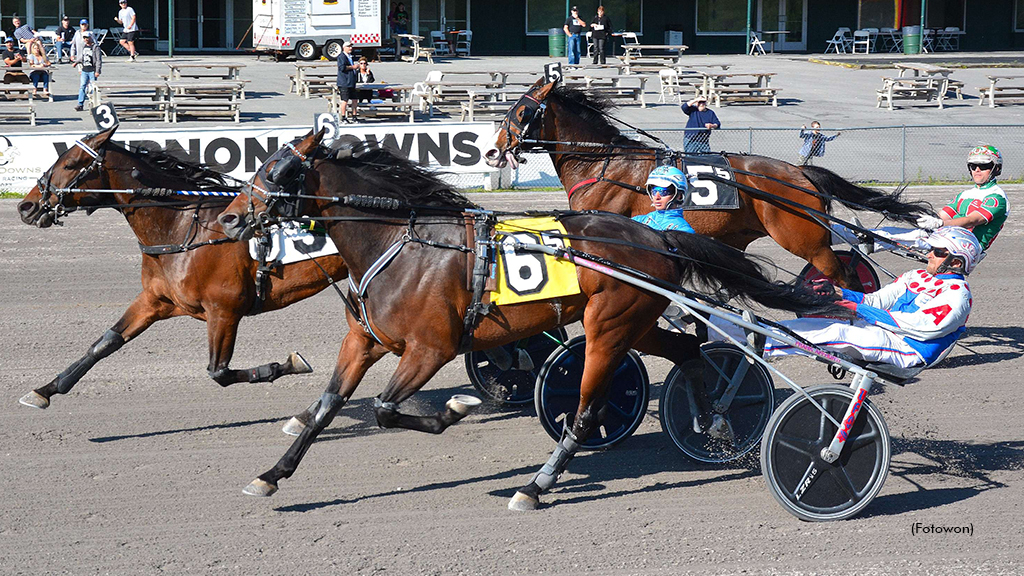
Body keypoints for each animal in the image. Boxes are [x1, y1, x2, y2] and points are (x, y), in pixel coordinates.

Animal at [16, 127, 350, 409]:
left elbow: (219, 372)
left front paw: (289, 364)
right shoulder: (156, 300)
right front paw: (45, 390)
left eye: (71, 163)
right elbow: (105, 342)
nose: (26, 206)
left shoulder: (224, 311)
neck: (180, 230)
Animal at [211, 129, 843, 506]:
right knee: (688, 353)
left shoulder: (430, 349)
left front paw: (456, 410)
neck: (405, 244)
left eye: (277, 171)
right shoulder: (364, 342)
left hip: (610, 326)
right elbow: (324, 410)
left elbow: (390, 408)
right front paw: (271, 475)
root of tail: (655, 236)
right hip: (637, 323)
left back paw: (538, 484)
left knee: (586, 407)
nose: (228, 218)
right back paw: (716, 420)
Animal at [483, 78, 933, 289]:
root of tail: (801, 172)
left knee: (841, 277)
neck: (606, 162)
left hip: (806, 240)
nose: (491, 151)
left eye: (521, 111)